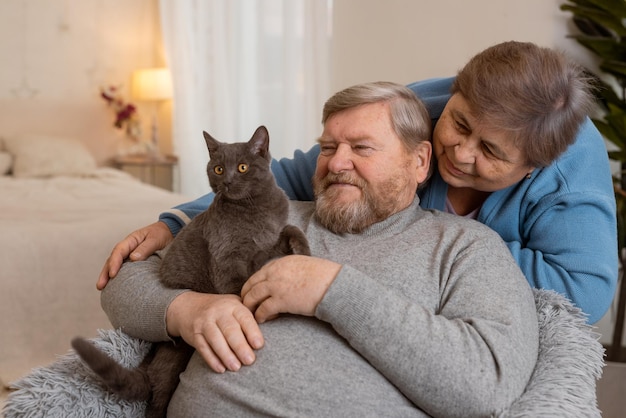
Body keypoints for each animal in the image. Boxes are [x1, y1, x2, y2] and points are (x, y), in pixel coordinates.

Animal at [70, 126, 310, 418]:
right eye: (218, 169)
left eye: (242, 167)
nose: (227, 181)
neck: (254, 208)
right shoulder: (226, 260)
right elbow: (239, 288)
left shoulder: (264, 246)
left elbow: (288, 229)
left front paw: (304, 250)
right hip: (174, 360)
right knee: (156, 399)